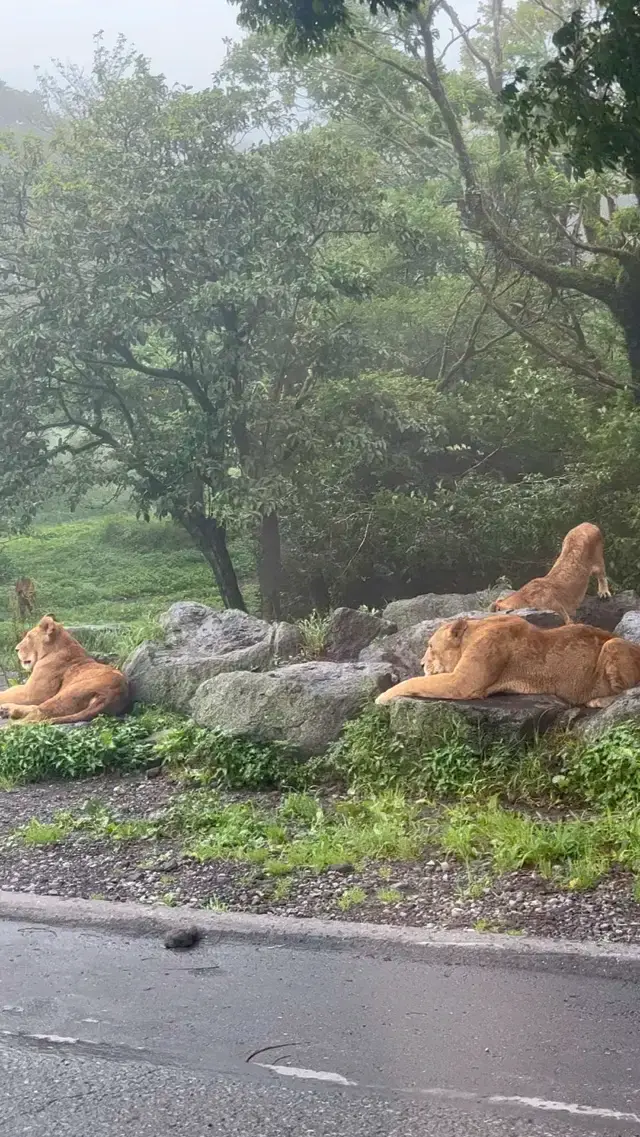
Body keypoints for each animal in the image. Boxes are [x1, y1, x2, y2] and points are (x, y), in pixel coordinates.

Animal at [0, 618, 130, 723]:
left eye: (29, 637)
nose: (16, 649)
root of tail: (114, 694)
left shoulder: (32, 693)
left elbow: (8, 692)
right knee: (36, 710)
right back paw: (6, 710)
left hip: (65, 695)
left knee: (34, 717)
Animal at [372, 613, 640, 709]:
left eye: (429, 646)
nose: (420, 663)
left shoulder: (463, 683)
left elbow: (413, 682)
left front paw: (382, 697)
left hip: (613, 644)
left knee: (629, 690)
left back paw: (598, 701)